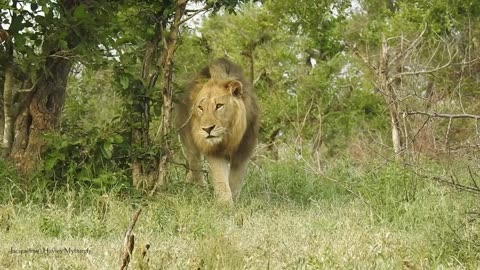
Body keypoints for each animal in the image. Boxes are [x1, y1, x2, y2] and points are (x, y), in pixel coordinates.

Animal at [175, 58, 258, 204]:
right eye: (200, 107)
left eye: (219, 106)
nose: (207, 129)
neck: (230, 134)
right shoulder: (214, 151)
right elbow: (221, 180)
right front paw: (225, 204)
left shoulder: (244, 150)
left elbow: (235, 181)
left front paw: (234, 201)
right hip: (190, 142)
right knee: (195, 165)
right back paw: (197, 188)